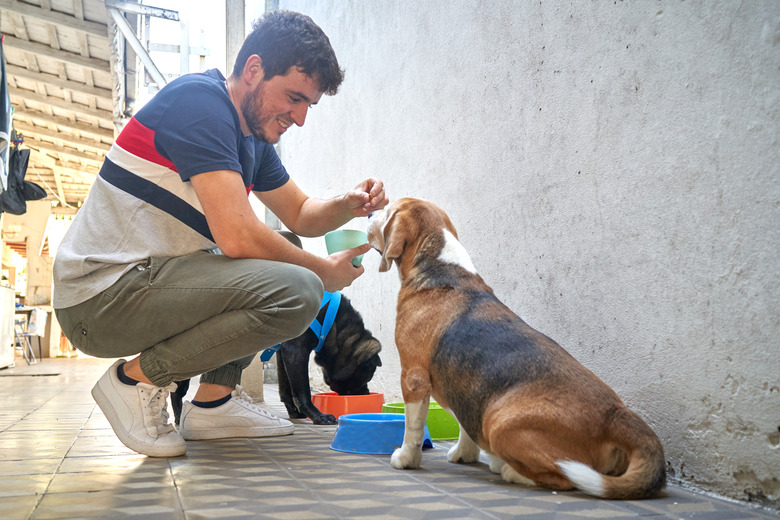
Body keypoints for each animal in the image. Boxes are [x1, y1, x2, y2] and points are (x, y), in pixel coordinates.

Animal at [368, 197, 664, 498]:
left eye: (388, 210)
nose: (369, 212)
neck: (441, 266)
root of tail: (615, 415)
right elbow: (464, 424)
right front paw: (465, 454)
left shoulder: (413, 376)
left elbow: (413, 428)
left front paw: (406, 458)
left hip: (499, 420)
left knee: (565, 478)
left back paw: (508, 469)